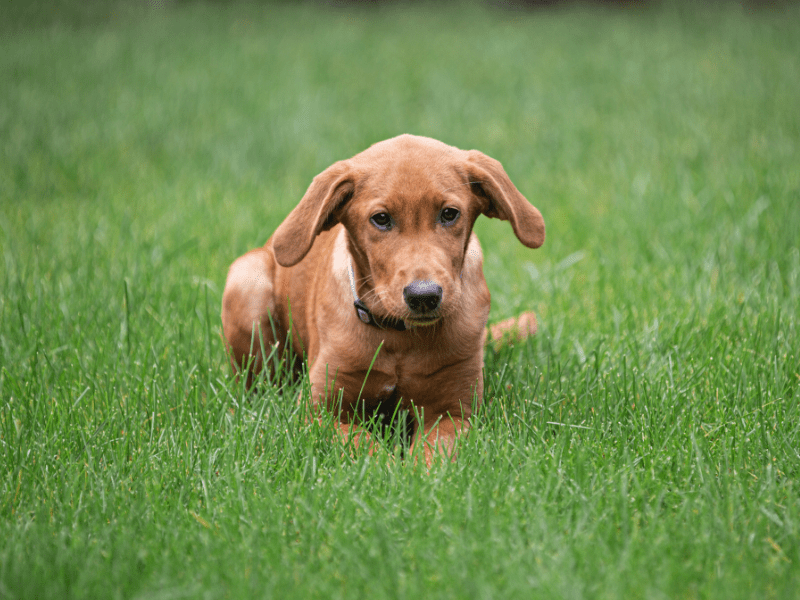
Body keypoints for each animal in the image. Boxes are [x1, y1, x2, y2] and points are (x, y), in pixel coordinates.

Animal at [220, 135, 544, 464]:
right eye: (381, 219)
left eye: (449, 214)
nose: (424, 296)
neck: (399, 337)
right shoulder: (317, 412)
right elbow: (361, 442)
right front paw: (387, 466)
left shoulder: (455, 411)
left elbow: (433, 452)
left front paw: (413, 471)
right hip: (247, 282)